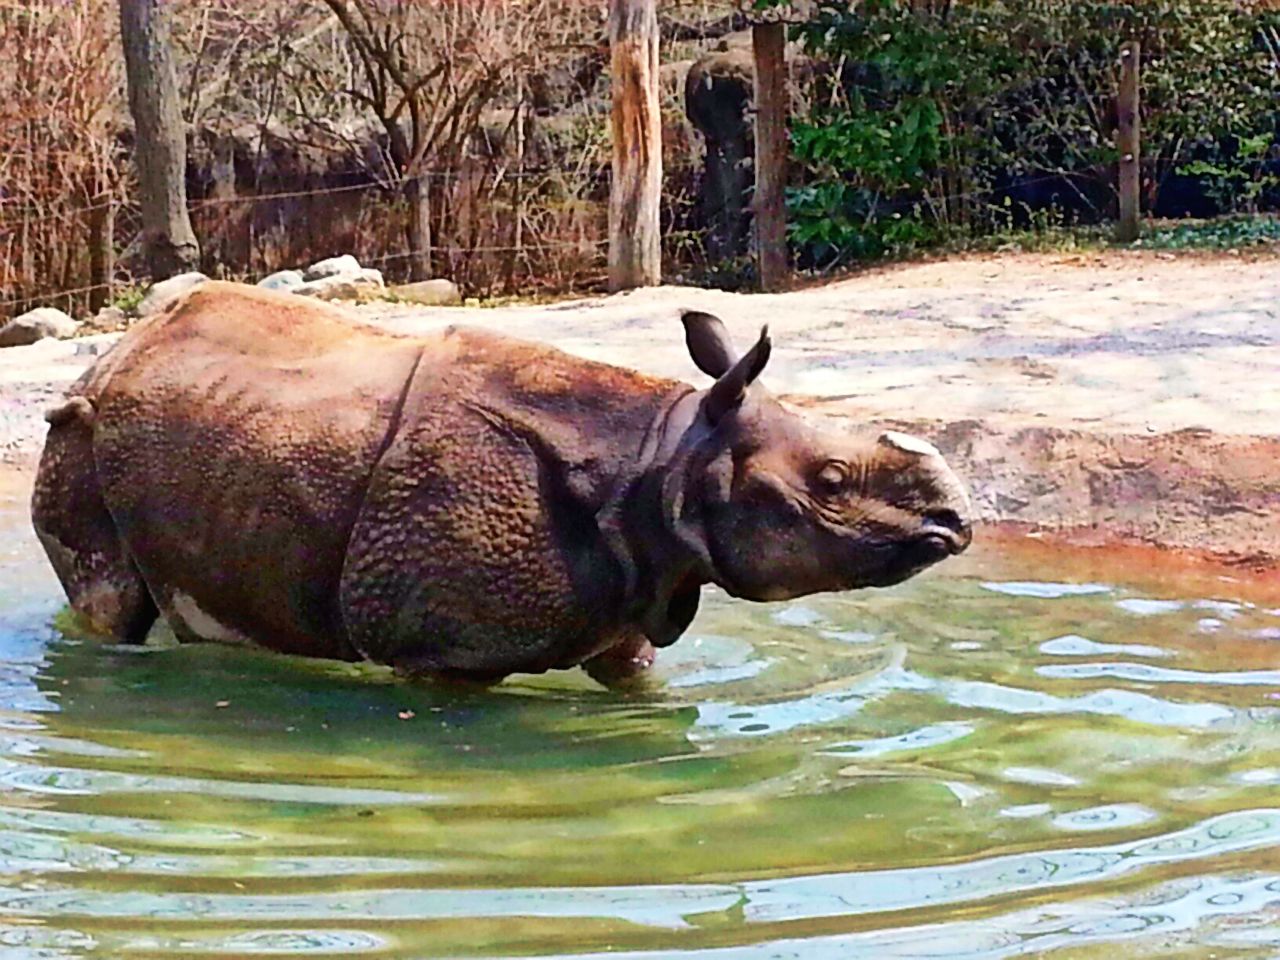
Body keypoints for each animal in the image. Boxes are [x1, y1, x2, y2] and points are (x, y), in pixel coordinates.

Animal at [31, 283, 972, 685]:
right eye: (833, 479)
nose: (955, 522)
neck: (667, 459)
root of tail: (112, 355)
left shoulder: (632, 603)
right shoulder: (439, 652)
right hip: (77, 434)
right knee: (113, 605)